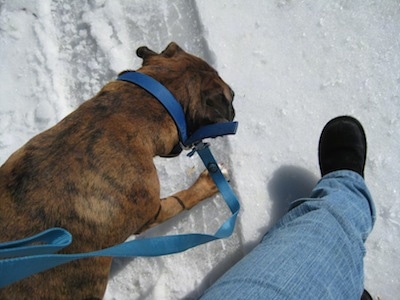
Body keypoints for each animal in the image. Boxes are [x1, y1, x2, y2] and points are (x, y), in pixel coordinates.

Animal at [0, 42, 234, 300]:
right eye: (231, 97)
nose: (233, 112)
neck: (122, 114)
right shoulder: (152, 211)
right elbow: (182, 200)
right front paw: (210, 181)